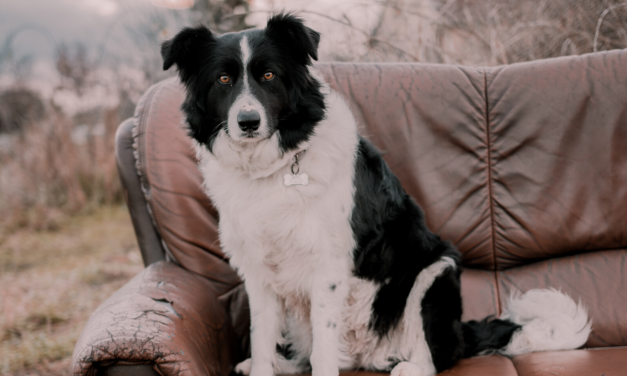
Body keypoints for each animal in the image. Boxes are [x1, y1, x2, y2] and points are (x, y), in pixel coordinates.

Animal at [162, 13, 592, 376]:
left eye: (268, 75)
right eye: (223, 80)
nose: (248, 122)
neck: (274, 168)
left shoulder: (328, 268)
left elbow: (322, 352)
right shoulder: (258, 272)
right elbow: (263, 338)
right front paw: (263, 365)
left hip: (435, 272)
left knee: (438, 355)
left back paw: (410, 366)